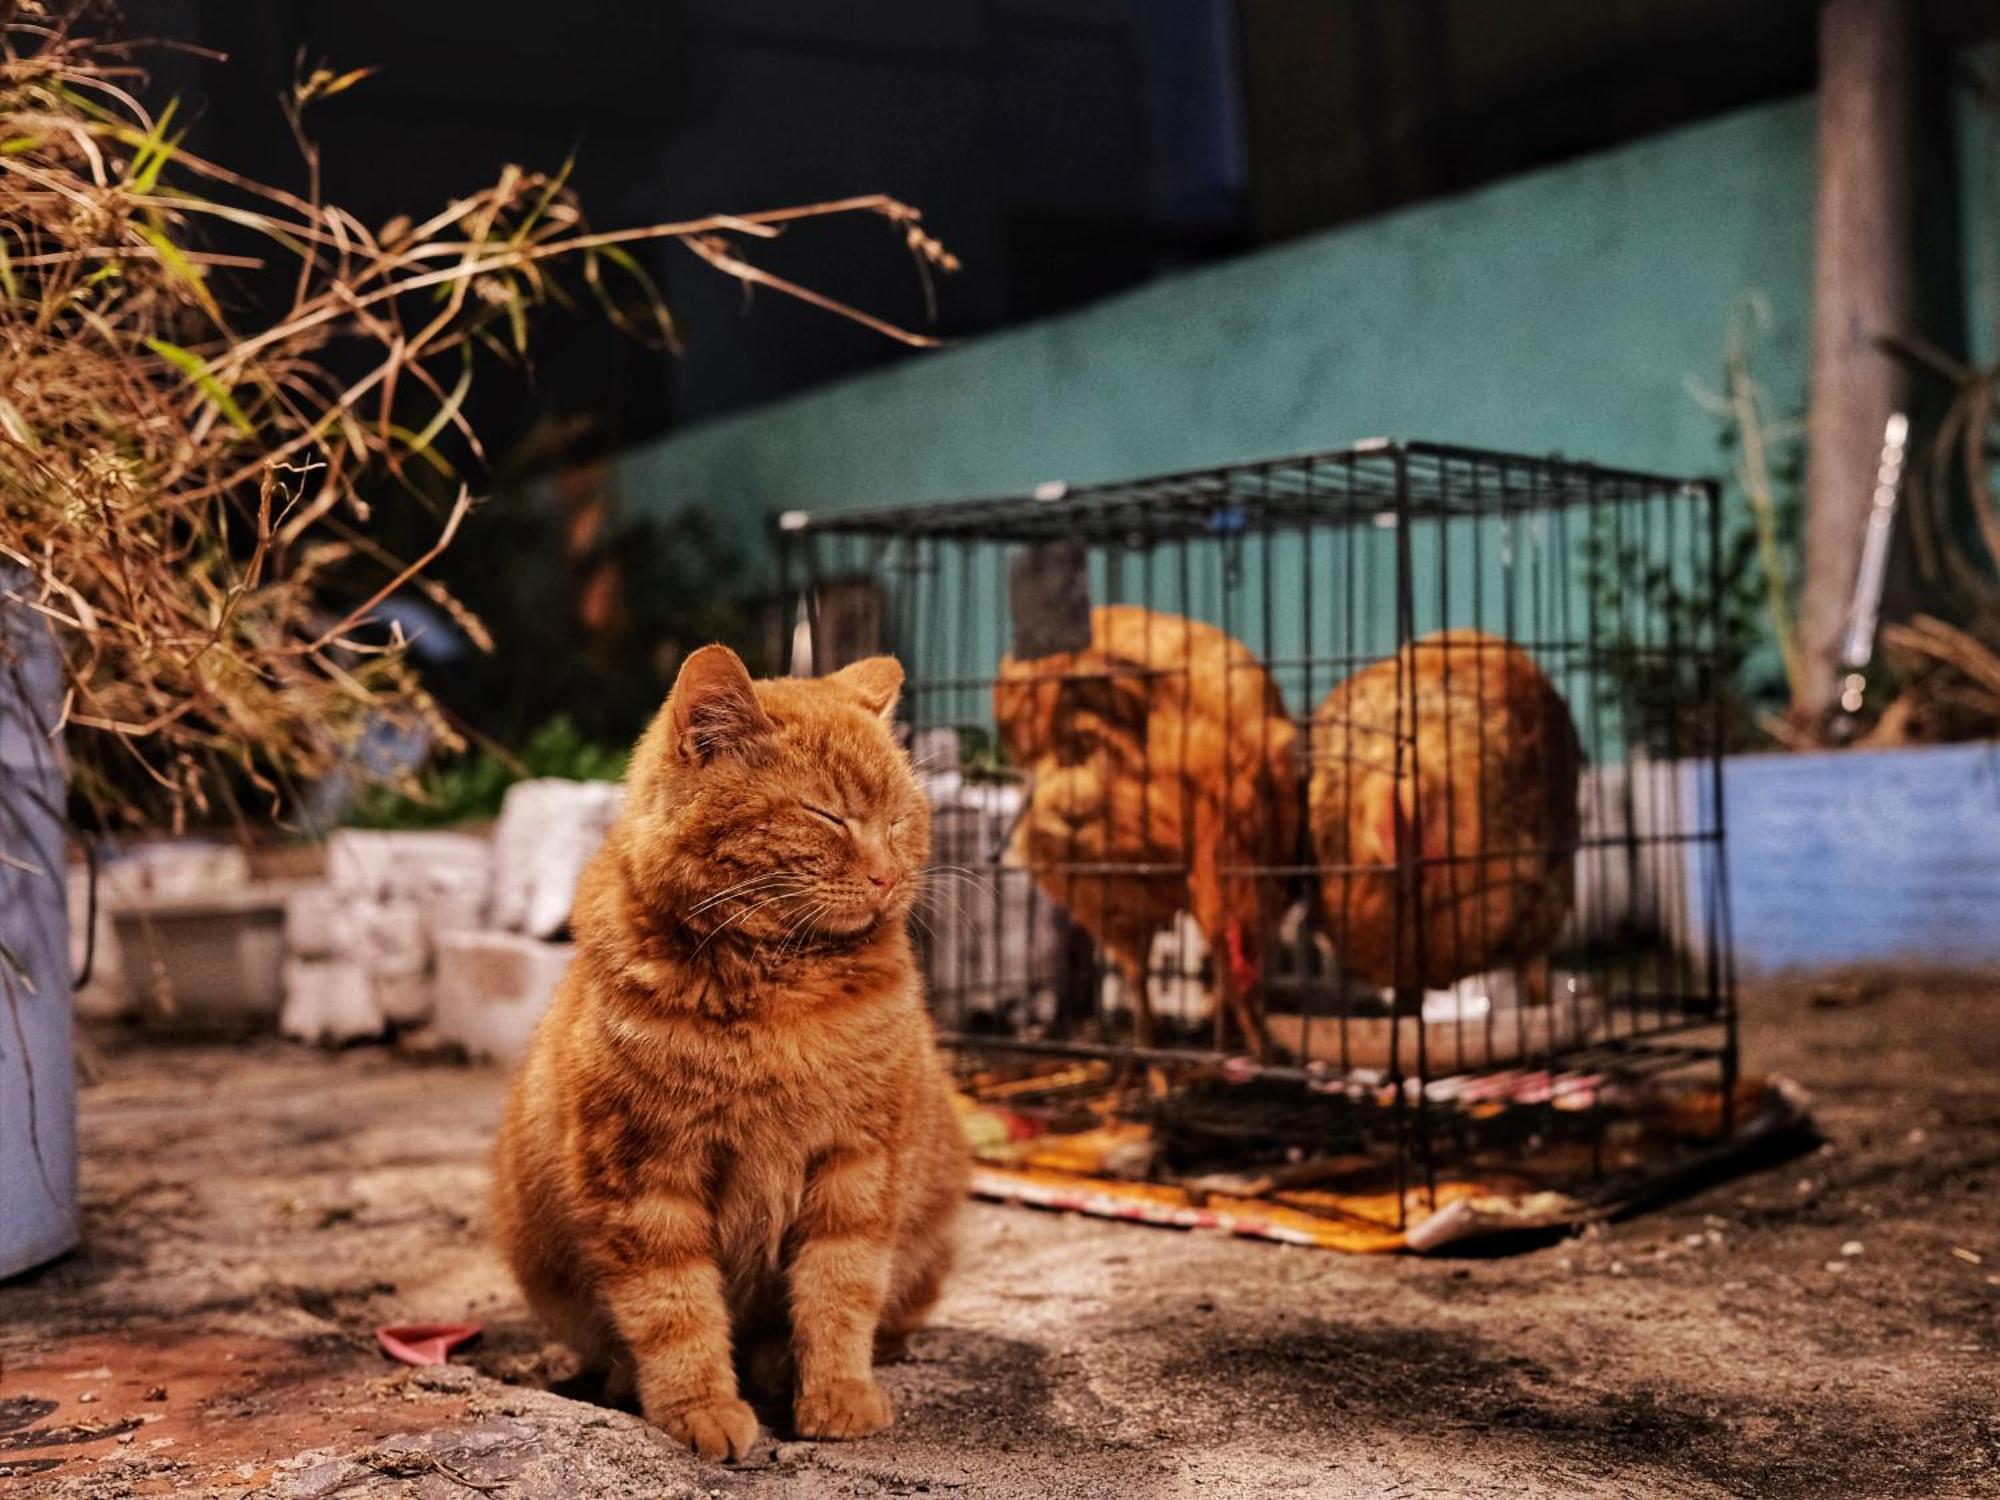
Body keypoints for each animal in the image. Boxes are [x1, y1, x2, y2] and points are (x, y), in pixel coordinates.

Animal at [488, 644, 964, 1456]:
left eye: (899, 818)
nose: (889, 875)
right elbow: (673, 1311)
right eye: (827, 814)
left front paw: (837, 1393)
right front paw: (699, 1407)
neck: (782, 996)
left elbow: (840, 1291)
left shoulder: (859, 1165)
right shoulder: (643, 1178)